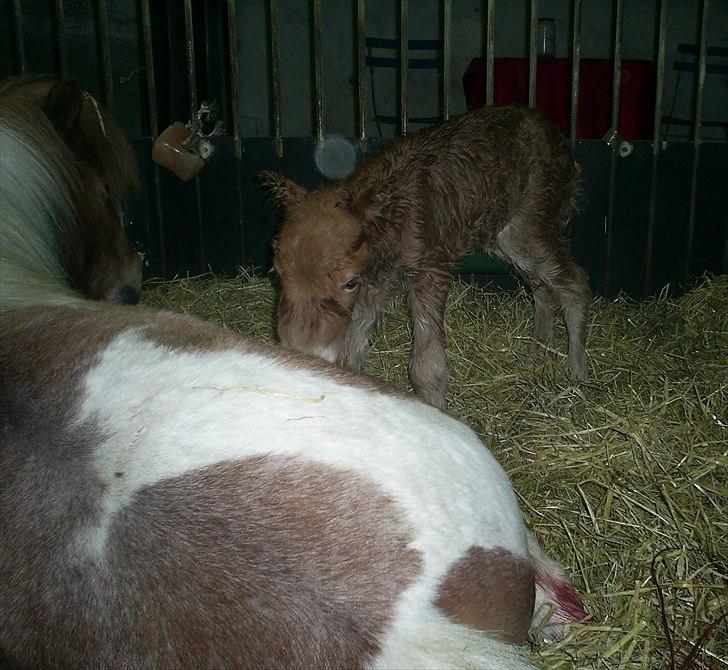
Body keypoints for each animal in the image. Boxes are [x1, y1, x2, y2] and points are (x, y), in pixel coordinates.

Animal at [262, 105, 592, 410]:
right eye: (277, 275)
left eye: (349, 282)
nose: (304, 353)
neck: (391, 223)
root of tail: (557, 138)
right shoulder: (376, 284)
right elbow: (351, 350)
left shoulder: (429, 271)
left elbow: (427, 367)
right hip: (503, 240)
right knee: (542, 287)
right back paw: (539, 355)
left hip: (526, 225)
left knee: (574, 281)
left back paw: (578, 371)